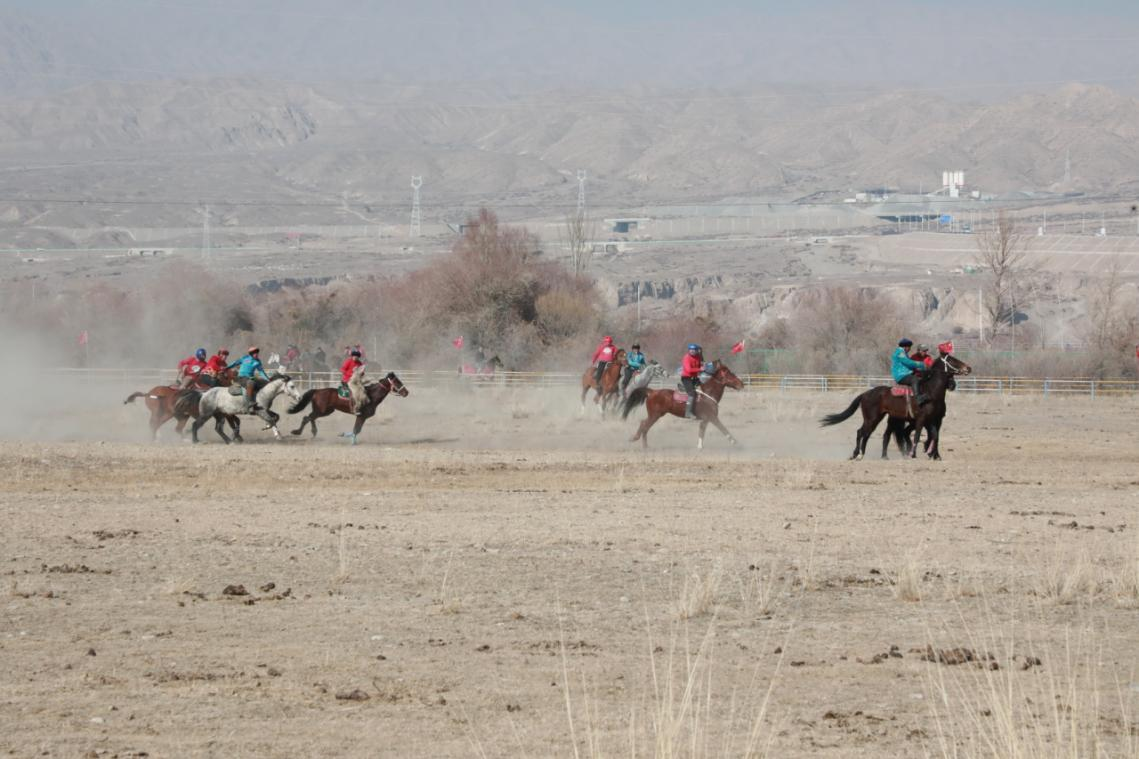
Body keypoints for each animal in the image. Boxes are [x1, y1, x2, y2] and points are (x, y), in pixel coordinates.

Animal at [820, 346, 970, 458]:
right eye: (952, 360)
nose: (968, 368)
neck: (930, 392)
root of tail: (865, 394)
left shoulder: (934, 420)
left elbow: (934, 436)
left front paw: (933, 455)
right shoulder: (921, 419)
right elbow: (917, 436)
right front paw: (913, 454)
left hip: (881, 418)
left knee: (870, 433)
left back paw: (867, 455)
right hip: (872, 418)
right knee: (862, 432)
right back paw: (857, 454)